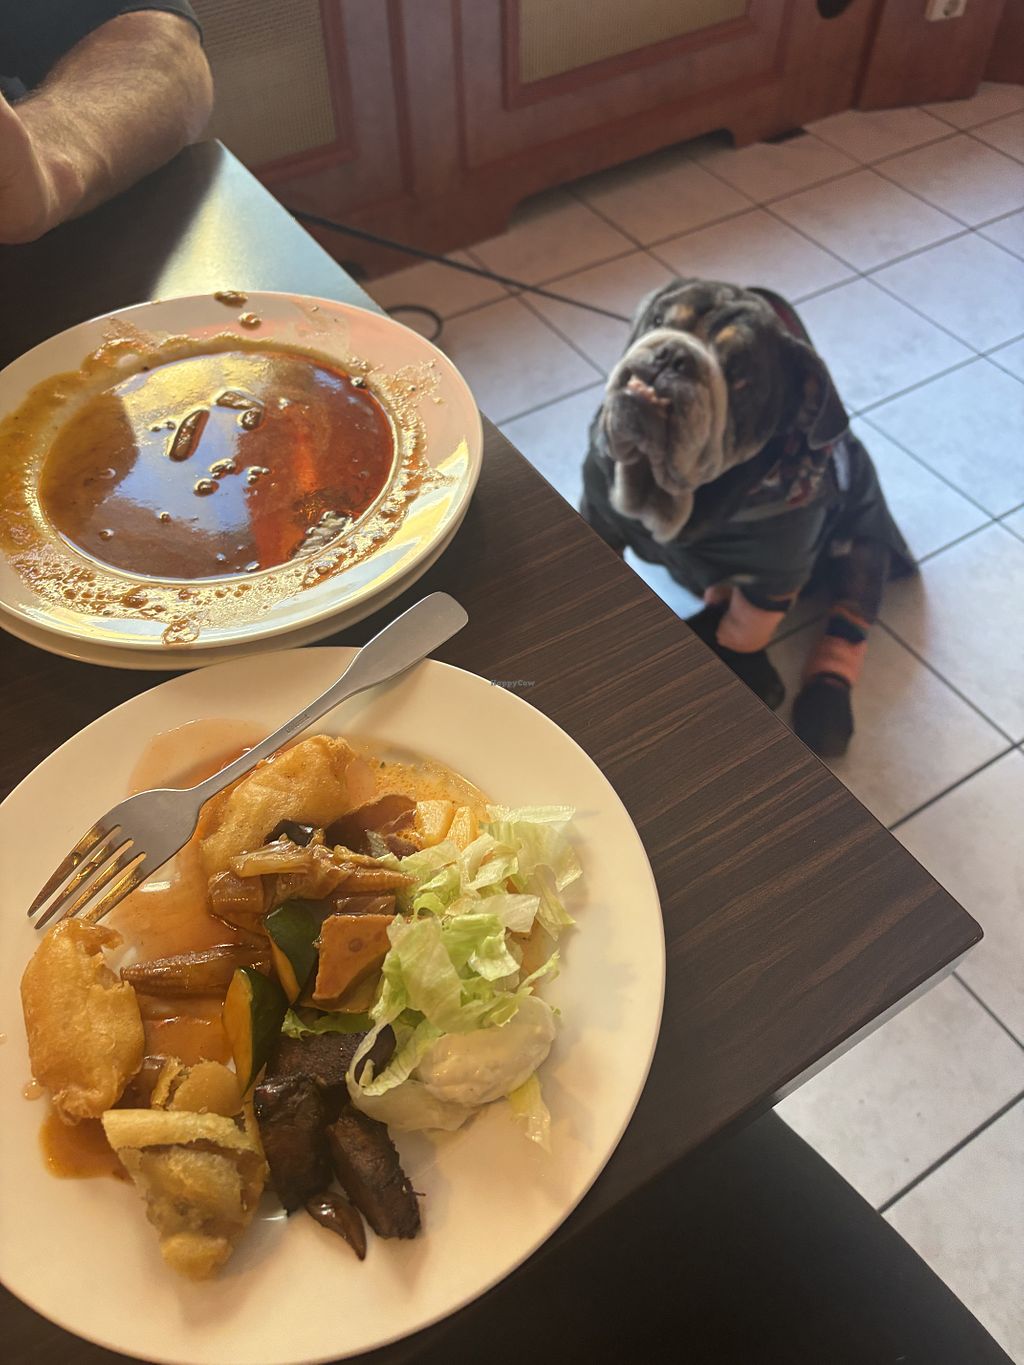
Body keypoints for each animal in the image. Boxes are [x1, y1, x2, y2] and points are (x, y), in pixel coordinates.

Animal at [580, 278, 914, 758]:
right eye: (660, 321)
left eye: (740, 377)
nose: (671, 356)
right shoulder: (600, 517)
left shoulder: (774, 577)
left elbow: (746, 629)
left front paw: (748, 667)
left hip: (865, 545)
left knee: (850, 616)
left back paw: (826, 706)